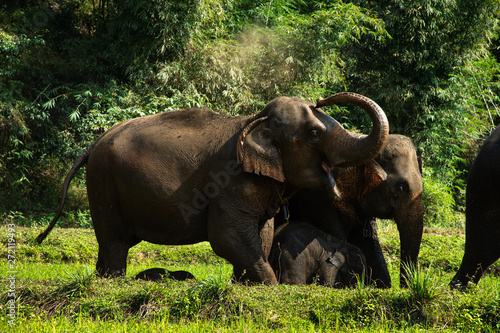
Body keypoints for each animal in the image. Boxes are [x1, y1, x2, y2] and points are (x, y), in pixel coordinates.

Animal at [36, 92, 390, 284]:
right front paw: (270, 286)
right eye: (315, 134)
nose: (321, 98)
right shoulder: (229, 183)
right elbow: (227, 236)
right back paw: (113, 282)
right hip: (103, 182)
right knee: (114, 241)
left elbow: (261, 234)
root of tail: (92, 145)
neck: (253, 120)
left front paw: (244, 285)